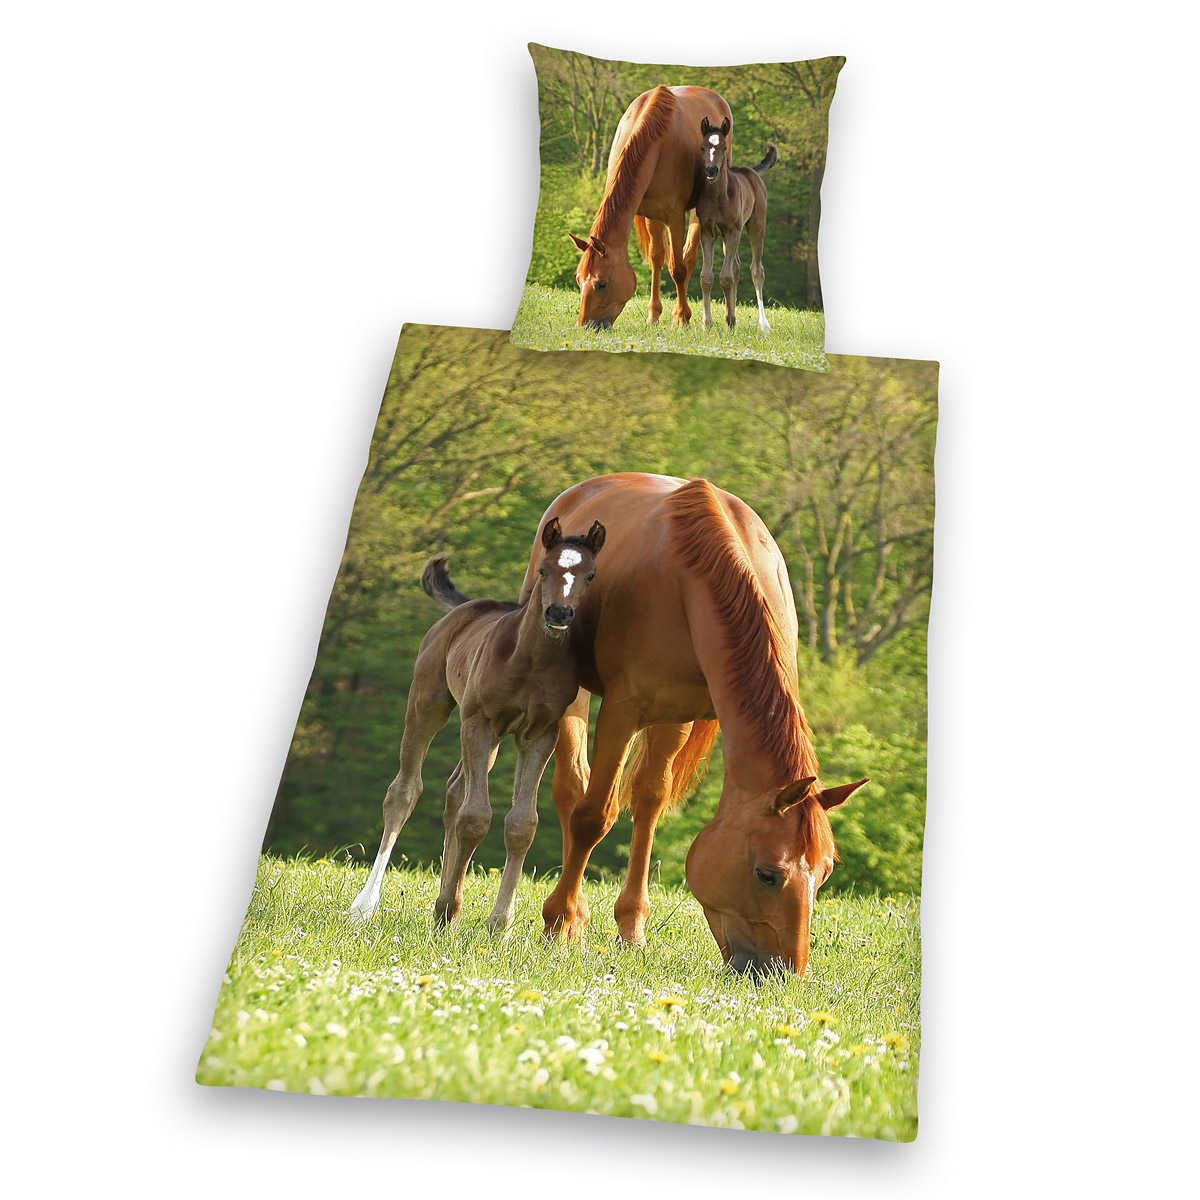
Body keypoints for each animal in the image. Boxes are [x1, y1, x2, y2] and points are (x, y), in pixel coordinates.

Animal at [348, 518, 606, 934]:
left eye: (590, 575)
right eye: (543, 570)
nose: (559, 614)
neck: (531, 661)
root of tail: (469, 606)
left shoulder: (539, 735)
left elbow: (521, 824)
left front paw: (499, 924)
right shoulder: (479, 722)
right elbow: (475, 818)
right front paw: (453, 911)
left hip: (494, 737)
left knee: (454, 791)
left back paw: (442, 901)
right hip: (430, 704)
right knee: (404, 792)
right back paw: (366, 905)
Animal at [518, 474, 867, 977]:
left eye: (825, 874)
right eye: (767, 874)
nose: (783, 973)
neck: (698, 578)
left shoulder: (678, 712)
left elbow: (650, 802)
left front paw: (632, 930)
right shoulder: (623, 709)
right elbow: (593, 816)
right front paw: (559, 923)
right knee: (572, 790)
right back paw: (572, 916)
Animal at [570, 84, 733, 330]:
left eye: (602, 284)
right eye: (578, 279)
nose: (585, 325)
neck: (655, 140)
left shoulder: (675, 216)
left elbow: (678, 268)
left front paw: (683, 317)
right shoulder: (652, 213)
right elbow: (657, 259)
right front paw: (653, 315)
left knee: (688, 257)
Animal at [695, 116, 776, 332]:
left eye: (724, 147)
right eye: (702, 147)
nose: (711, 170)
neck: (717, 197)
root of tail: (751, 171)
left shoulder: (732, 231)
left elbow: (726, 277)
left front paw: (729, 320)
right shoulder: (707, 233)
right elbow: (707, 277)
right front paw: (708, 323)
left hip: (756, 225)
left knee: (756, 270)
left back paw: (763, 324)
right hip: (727, 236)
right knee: (737, 267)